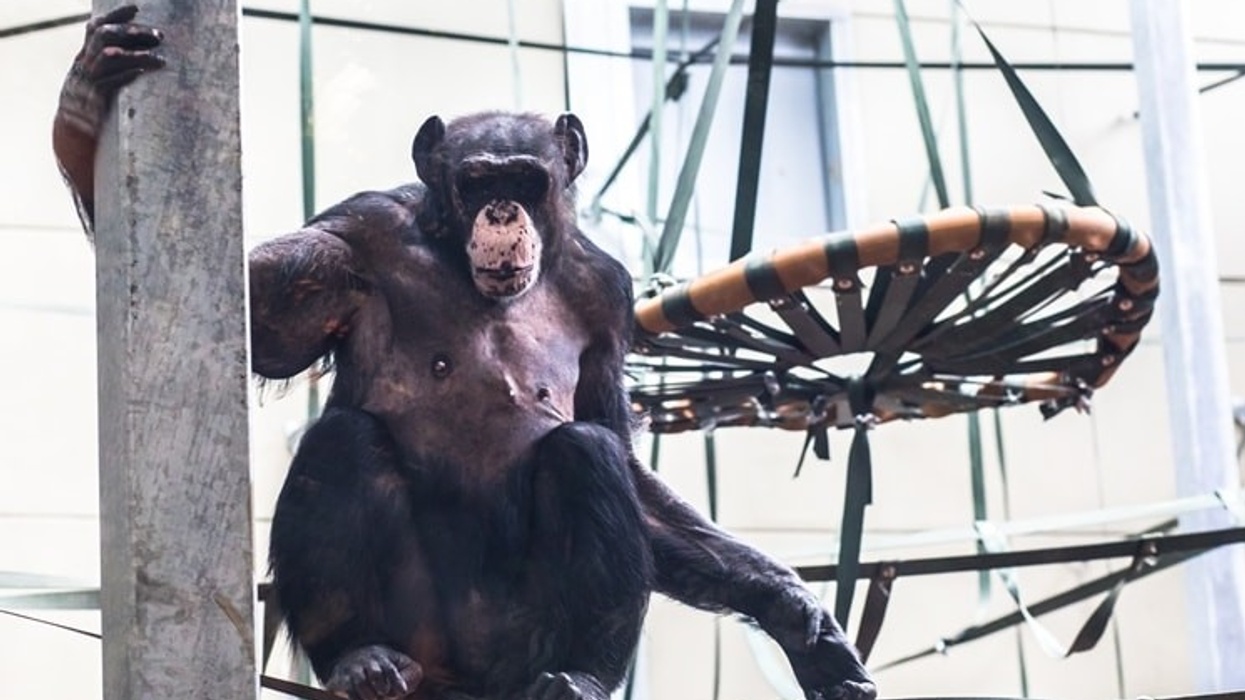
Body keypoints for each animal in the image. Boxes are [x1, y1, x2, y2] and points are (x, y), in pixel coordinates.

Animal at [53, 7, 876, 700]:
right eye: (479, 178)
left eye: (525, 178)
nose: (503, 210)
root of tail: (469, 686)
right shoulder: (349, 237)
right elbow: (253, 312)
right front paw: (85, 106)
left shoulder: (609, 293)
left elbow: (615, 441)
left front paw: (790, 609)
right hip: (421, 635)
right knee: (344, 438)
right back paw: (360, 659)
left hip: (522, 647)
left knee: (585, 453)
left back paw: (582, 675)